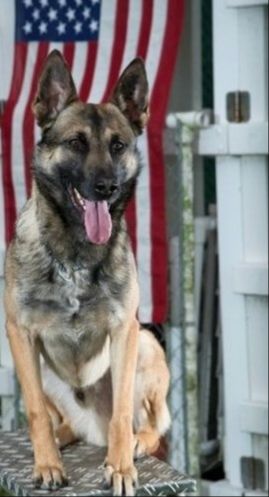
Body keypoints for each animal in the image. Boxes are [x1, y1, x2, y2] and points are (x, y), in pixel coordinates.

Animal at [4, 51, 170, 496]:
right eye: (76, 143)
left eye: (118, 146)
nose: (106, 187)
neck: (74, 252)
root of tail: (89, 426)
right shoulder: (19, 331)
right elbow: (35, 413)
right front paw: (47, 465)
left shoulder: (124, 328)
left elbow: (122, 412)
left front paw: (121, 467)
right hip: (39, 370)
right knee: (57, 421)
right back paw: (59, 442)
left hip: (146, 344)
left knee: (148, 426)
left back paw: (135, 445)